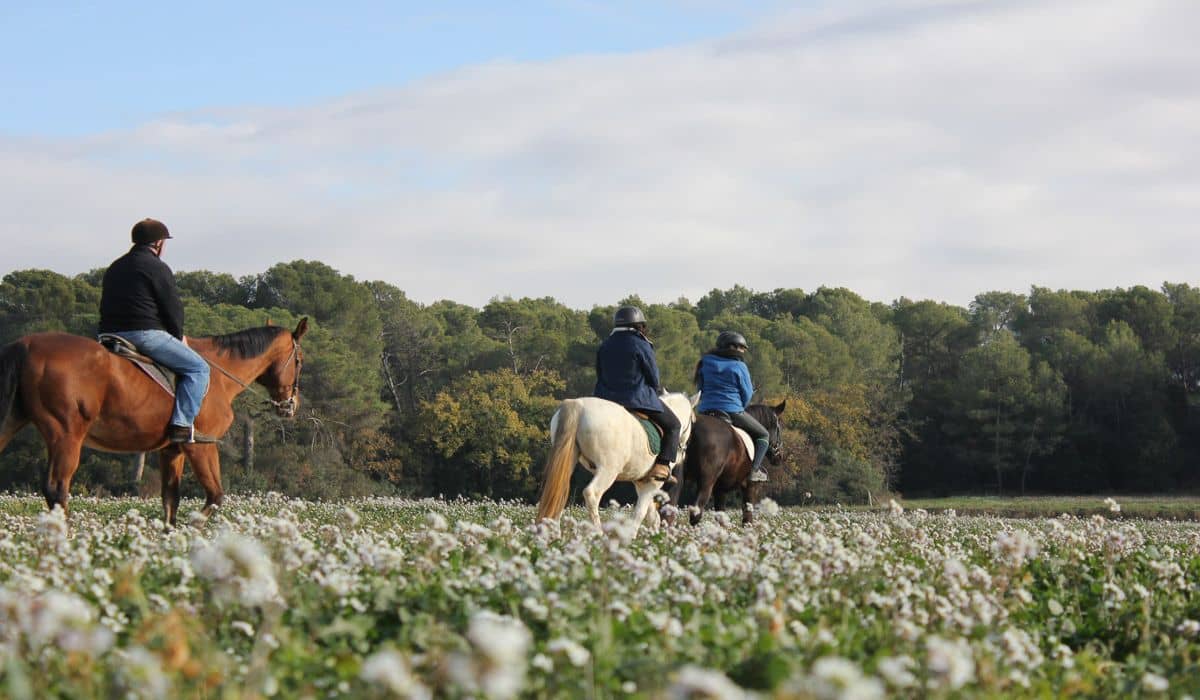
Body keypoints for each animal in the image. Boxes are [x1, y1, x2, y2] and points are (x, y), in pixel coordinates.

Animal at [0, 319, 307, 523]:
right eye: (299, 360)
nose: (291, 405)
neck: (219, 374)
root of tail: (25, 344)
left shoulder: (172, 450)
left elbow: (171, 500)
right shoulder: (201, 446)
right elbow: (215, 497)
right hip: (66, 436)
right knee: (57, 490)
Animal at [535, 391, 696, 533]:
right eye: (693, 421)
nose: (683, 453)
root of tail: (577, 405)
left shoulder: (642, 483)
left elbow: (652, 517)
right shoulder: (653, 483)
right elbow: (640, 514)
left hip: (568, 461)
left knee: (559, 493)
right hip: (608, 470)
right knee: (592, 494)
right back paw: (598, 534)